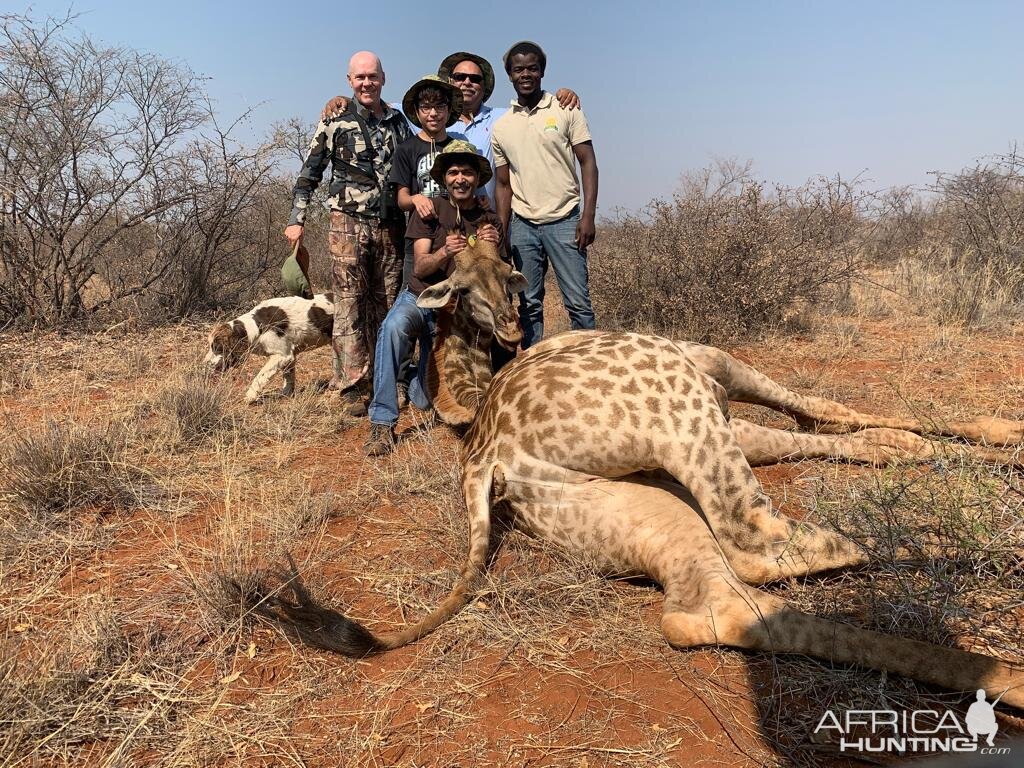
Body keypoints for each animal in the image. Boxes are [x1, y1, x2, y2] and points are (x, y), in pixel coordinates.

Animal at [203, 292, 335, 403]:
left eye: (217, 348)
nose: (204, 364)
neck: (257, 326)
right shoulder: (290, 357)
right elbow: (288, 378)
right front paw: (286, 394)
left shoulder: (282, 355)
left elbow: (259, 377)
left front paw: (250, 396)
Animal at [245, 240, 1024, 708]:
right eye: (465, 286)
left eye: (508, 276)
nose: (508, 322)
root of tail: (486, 456)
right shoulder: (715, 379)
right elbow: (850, 420)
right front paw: (1001, 442)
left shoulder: (724, 414)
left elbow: (864, 435)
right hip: (678, 412)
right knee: (762, 545)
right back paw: (984, 572)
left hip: (628, 502)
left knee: (718, 600)